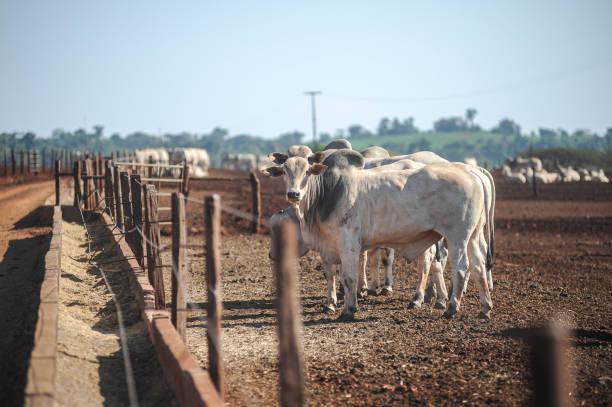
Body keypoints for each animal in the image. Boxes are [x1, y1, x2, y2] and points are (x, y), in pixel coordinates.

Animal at [266, 150, 494, 322]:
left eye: (307, 171)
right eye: (285, 170)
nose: (293, 194)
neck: (328, 194)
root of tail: (472, 173)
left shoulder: (348, 244)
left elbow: (349, 277)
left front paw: (349, 309)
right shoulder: (330, 247)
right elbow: (335, 275)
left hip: (457, 237)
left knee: (460, 268)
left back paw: (450, 307)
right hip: (473, 236)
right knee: (478, 265)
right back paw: (485, 307)